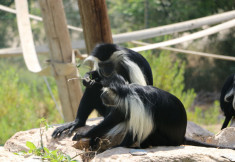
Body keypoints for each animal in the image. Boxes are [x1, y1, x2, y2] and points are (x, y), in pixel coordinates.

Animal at [73, 74, 235, 150]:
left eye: (104, 92)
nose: (101, 96)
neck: (126, 92)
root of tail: (181, 137)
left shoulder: (135, 105)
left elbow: (135, 130)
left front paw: (117, 147)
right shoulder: (123, 106)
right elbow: (111, 121)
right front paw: (84, 135)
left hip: (165, 140)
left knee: (149, 134)